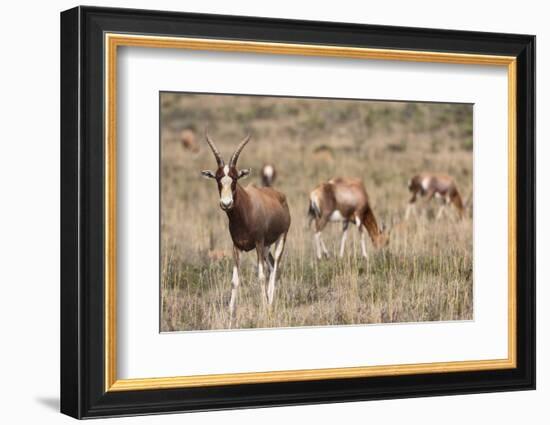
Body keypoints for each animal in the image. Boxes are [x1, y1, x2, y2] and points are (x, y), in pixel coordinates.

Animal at [203, 130, 294, 314]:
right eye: (218, 178)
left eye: (235, 178)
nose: (226, 203)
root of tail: (279, 195)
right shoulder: (236, 247)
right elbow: (234, 280)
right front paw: (230, 311)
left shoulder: (258, 243)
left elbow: (260, 276)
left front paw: (264, 308)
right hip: (266, 247)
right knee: (271, 266)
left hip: (279, 239)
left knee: (275, 267)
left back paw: (270, 303)